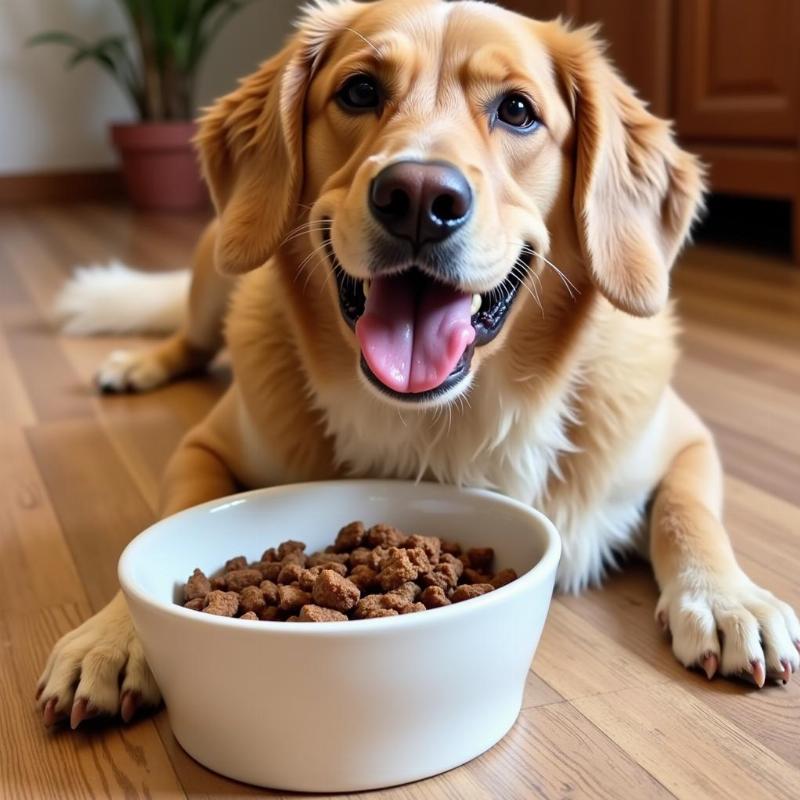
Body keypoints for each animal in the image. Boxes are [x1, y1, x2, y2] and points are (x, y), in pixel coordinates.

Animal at [40, 0, 796, 728]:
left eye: (517, 110)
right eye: (359, 91)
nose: (420, 198)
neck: (446, 421)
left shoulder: (687, 441)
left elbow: (687, 515)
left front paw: (727, 598)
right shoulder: (204, 446)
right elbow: (166, 520)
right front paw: (113, 635)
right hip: (217, 266)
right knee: (190, 335)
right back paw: (138, 364)